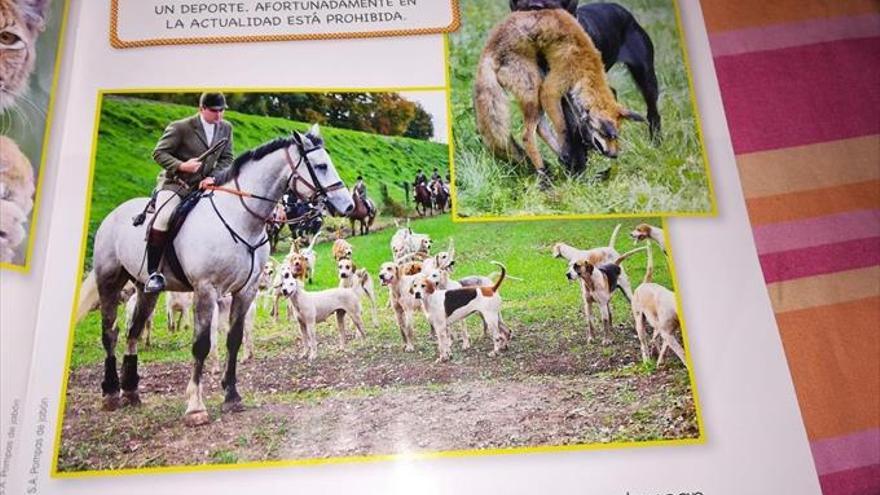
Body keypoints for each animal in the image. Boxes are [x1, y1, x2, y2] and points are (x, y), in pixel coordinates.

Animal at [75, 124, 350, 426]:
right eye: (321, 165)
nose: (348, 206)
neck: (240, 219)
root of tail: (114, 215)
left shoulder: (245, 291)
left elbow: (234, 340)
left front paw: (232, 396)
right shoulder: (206, 290)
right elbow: (202, 345)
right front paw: (196, 406)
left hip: (145, 290)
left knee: (133, 332)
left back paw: (131, 391)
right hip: (109, 281)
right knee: (110, 333)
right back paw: (111, 392)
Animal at [508, 0, 660, 174]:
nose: (536, 5)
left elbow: (572, 129)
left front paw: (576, 168)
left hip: (645, 76)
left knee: (653, 111)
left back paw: (656, 143)